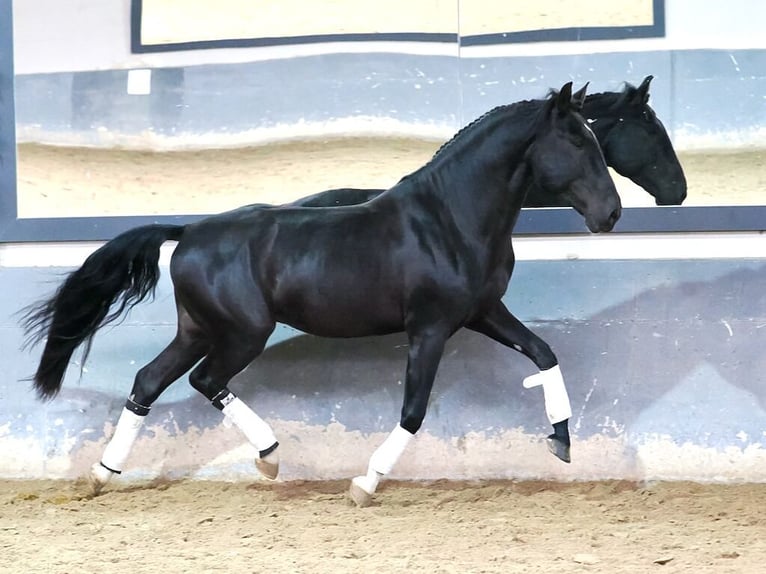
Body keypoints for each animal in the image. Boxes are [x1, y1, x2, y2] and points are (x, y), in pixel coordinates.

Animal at [22, 82, 624, 508]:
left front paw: (561, 441)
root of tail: (188, 231)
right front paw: (364, 484)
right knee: (204, 380)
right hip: (242, 333)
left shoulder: (482, 312)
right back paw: (268, 457)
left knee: (151, 381)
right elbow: (412, 412)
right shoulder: (429, 328)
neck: (448, 218)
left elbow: (544, 354)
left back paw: (106, 475)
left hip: (197, 329)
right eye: (575, 141)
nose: (612, 214)